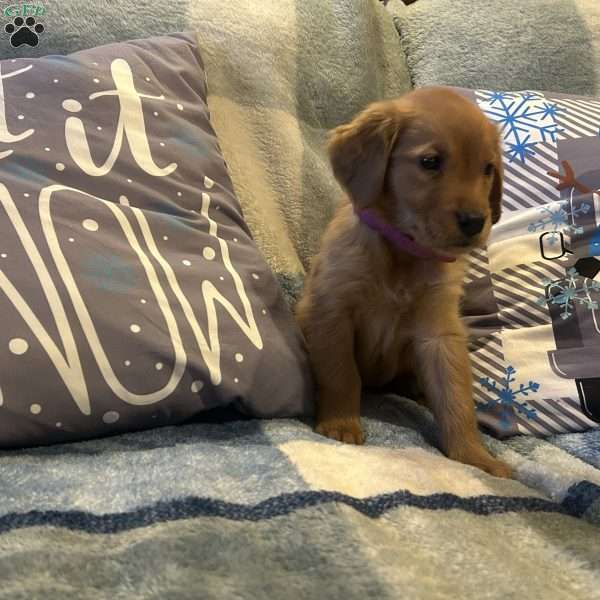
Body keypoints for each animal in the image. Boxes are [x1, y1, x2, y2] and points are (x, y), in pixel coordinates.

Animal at [296, 85, 510, 478]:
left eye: (488, 168)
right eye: (430, 162)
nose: (475, 221)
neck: (403, 251)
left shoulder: (439, 331)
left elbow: (456, 397)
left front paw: (476, 457)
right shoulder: (331, 310)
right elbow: (341, 372)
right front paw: (341, 424)